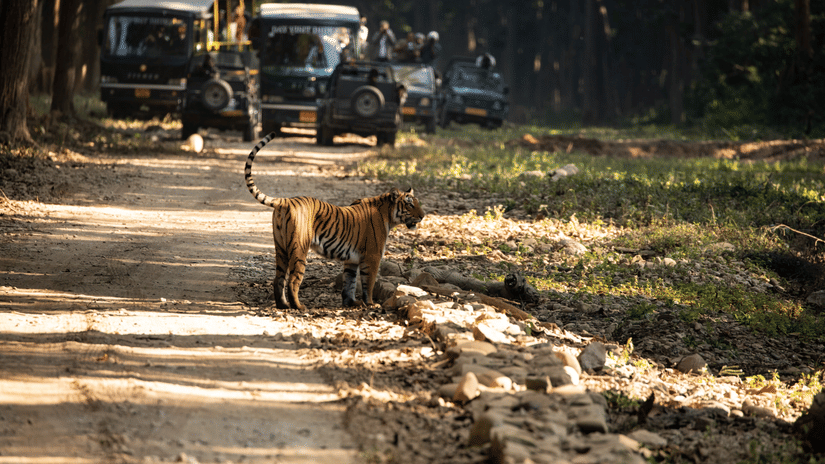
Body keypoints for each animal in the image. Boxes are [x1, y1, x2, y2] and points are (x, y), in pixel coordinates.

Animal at [244, 132, 425, 310]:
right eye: (410, 204)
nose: (423, 215)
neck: (388, 214)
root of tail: (286, 201)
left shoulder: (352, 260)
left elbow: (350, 283)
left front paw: (350, 303)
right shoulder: (372, 257)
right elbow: (369, 283)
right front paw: (370, 304)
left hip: (280, 247)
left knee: (278, 279)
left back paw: (283, 305)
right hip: (299, 248)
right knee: (293, 280)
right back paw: (299, 306)